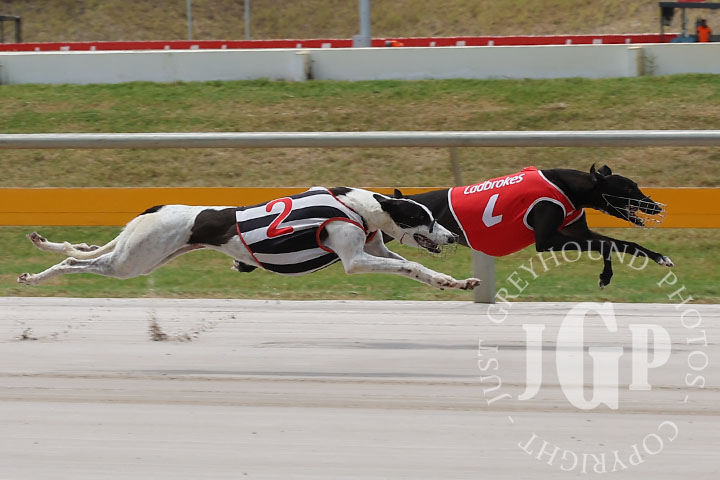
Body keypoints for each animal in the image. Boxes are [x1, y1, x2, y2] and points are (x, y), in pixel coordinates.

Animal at [404, 165, 673, 288]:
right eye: (628, 189)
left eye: (635, 185)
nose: (656, 208)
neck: (568, 187)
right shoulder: (547, 240)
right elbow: (605, 245)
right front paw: (605, 276)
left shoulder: (577, 231)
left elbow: (624, 244)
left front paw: (660, 257)